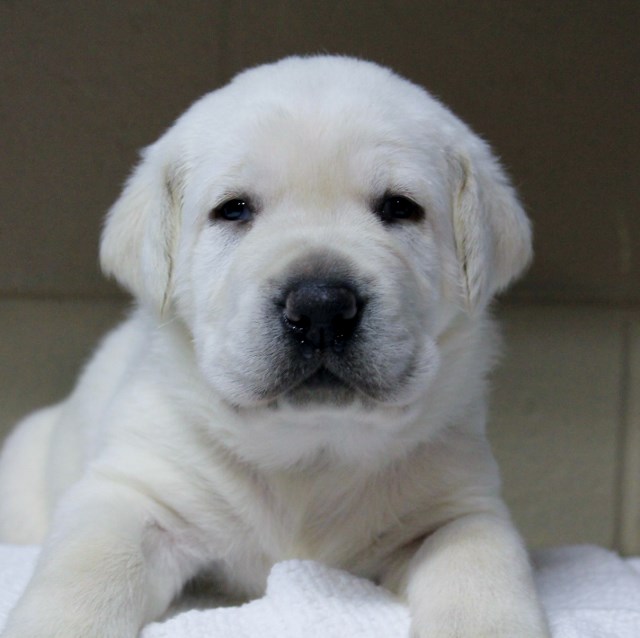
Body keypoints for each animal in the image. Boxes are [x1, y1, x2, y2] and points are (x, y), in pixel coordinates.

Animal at [0, 57, 552, 636]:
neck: (310, 452)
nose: (322, 307)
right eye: (234, 210)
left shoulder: (458, 506)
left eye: (400, 207)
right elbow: (84, 574)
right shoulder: (134, 491)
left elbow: (478, 570)